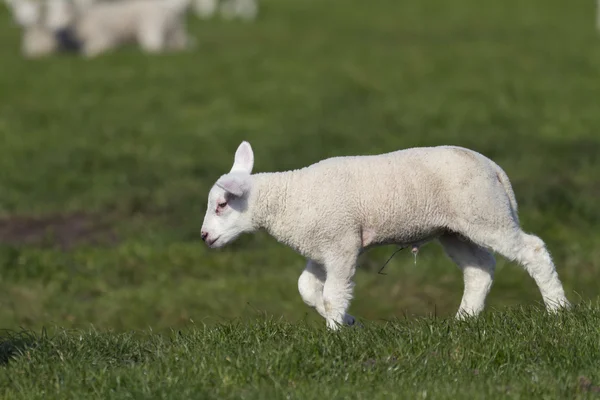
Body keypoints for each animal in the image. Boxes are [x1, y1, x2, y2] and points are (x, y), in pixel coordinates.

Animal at [200, 142, 572, 330]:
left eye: (222, 205)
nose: (204, 236)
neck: (287, 199)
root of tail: (494, 168)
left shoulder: (341, 243)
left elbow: (333, 294)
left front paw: (336, 333)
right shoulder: (323, 247)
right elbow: (306, 289)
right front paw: (349, 322)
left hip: (486, 213)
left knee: (534, 250)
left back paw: (558, 309)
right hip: (456, 229)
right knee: (479, 269)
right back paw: (464, 319)